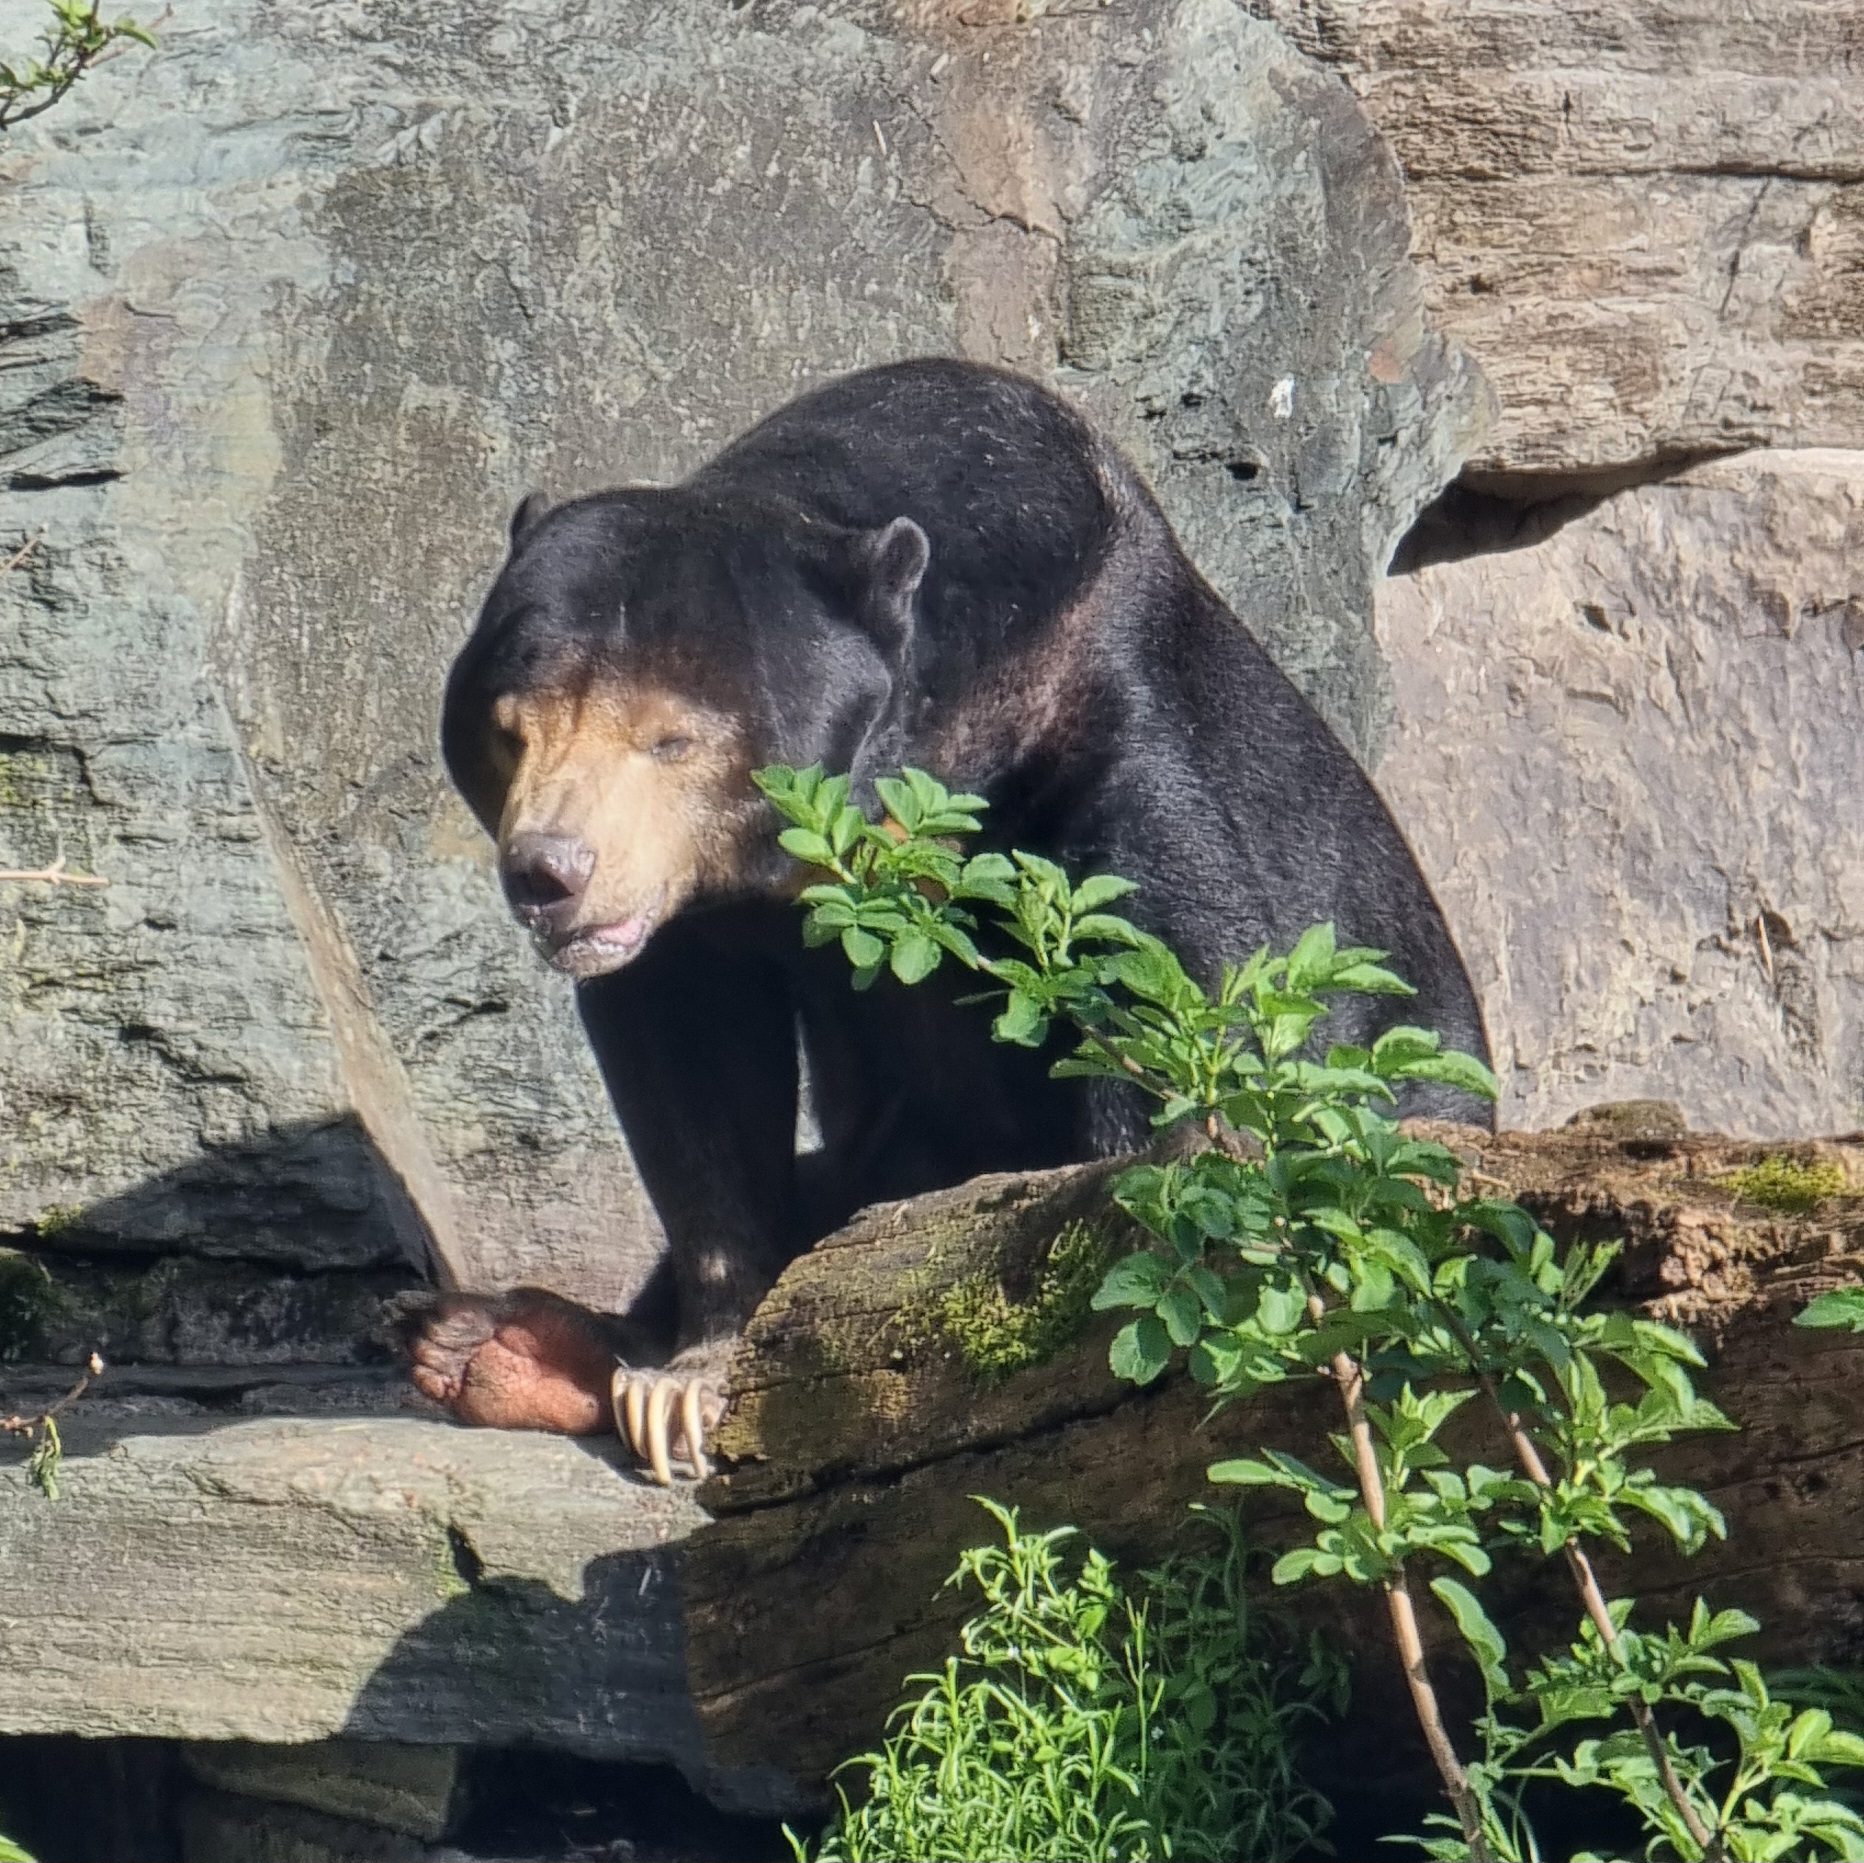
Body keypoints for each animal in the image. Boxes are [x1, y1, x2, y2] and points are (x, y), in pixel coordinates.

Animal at [406, 357, 1489, 1482]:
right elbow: (689, 1060)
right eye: (509, 730)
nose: (550, 874)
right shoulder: (698, 906)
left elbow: (1168, 965)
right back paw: (494, 1347)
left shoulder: (1093, 695)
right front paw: (685, 1386)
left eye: (671, 740)